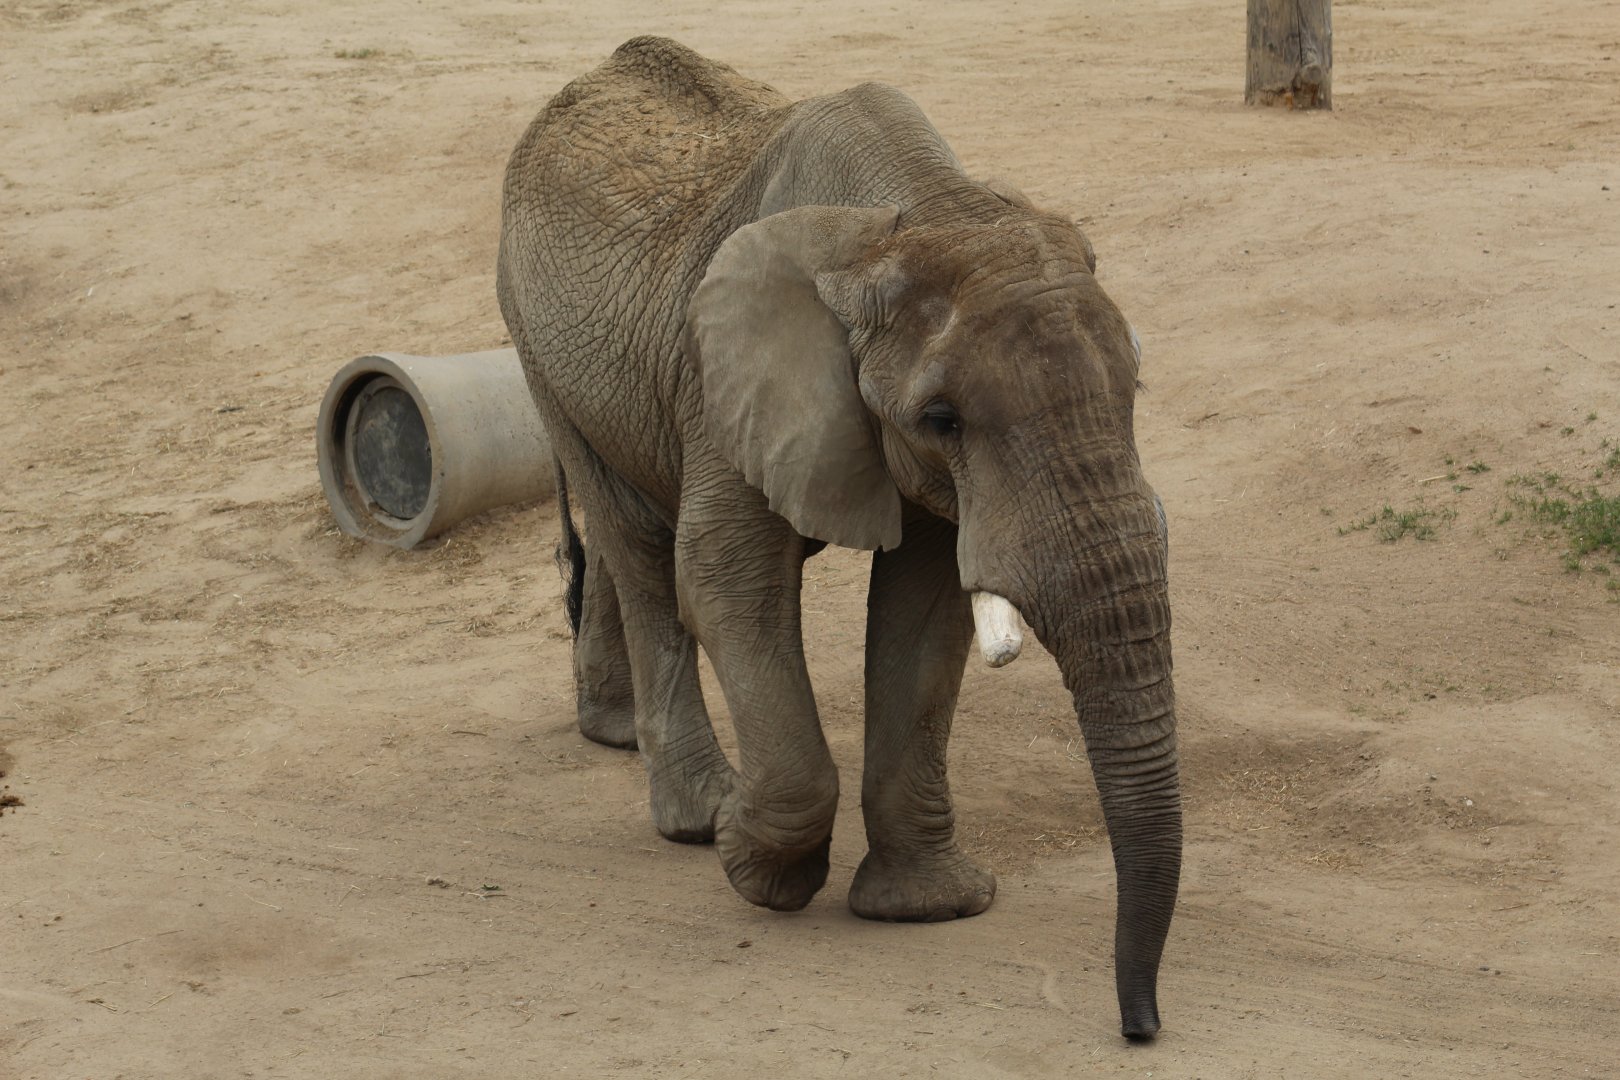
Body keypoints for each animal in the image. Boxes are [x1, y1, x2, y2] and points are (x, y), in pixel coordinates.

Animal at [496, 37, 1181, 1039]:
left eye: (1136, 386)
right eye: (941, 418)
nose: (1140, 1027)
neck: (913, 213)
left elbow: (924, 612)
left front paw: (927, 908)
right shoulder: (725, 379)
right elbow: (725, 578)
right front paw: (752, 862)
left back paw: (615, 737)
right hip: (535, 342)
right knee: (637, 543)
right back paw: (695, 811)